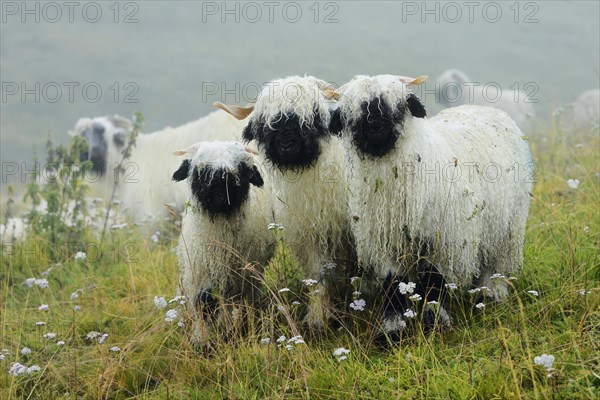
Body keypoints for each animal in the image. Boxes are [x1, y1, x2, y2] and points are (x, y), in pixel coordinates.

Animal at [169, 140, 272, 344]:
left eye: (242, 169)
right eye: (200, 171)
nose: (222, 194)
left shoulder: (246, 278)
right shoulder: (201, 273)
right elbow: (204, 304)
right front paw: (200, 340)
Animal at [214, 76, 354, 332]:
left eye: (313, 115)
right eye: (266, 122)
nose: (286, 145)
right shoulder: (313, 233)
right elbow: (317, 273)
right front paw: (318, 317)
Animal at [332, 74, 536, 338]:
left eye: (399, 108)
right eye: (351, 114)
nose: (375, 127)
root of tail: (488, 108)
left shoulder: (442, 239)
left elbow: (434, 281)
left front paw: (435, 322)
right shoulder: (385, 242)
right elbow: (392, 284)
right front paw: (390, 330)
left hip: (508, 225)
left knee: (494, 265)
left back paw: (491, 295)